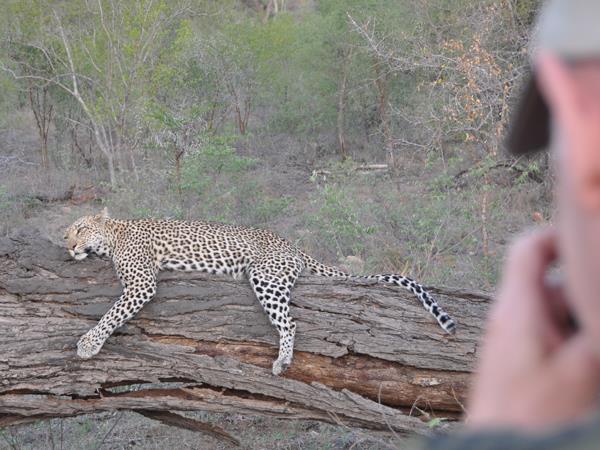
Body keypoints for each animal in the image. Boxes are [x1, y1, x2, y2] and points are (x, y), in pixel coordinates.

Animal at [64, 209, 454, 374]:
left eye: (79, 229)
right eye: (68, 231)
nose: (67, 245)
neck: (114, 235)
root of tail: (290, 244)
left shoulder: (142, 283)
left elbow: (112, 312)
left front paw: (88, 344)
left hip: (265, 276)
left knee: (290, 322)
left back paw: (282, 361)